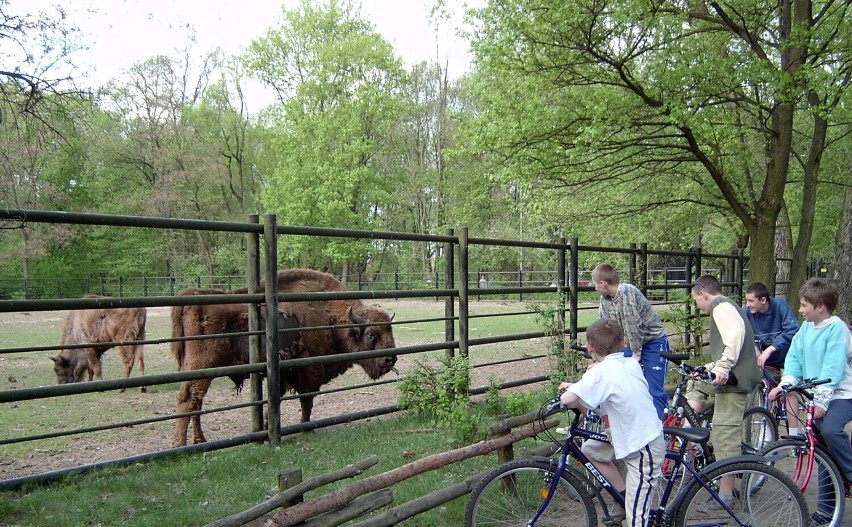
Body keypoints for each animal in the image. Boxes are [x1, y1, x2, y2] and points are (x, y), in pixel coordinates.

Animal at [171, 270, 402, 448]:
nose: (391, 360)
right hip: (201, 366)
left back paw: (200, 441)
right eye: (371, 333)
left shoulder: (284, 376)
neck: (330, 316)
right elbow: (307, 401)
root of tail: (190, 299)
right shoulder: (309, 374)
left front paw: (266, 426)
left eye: (390, 330)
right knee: (187, 400)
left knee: (196, 402)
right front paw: (306, 428)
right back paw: (181, 446)